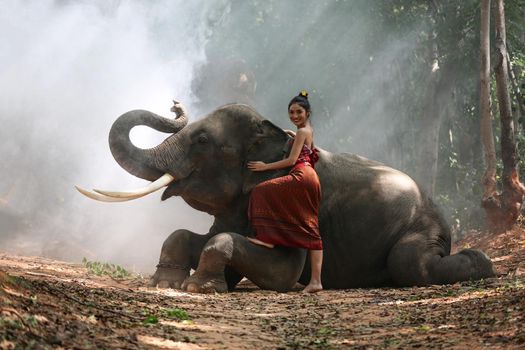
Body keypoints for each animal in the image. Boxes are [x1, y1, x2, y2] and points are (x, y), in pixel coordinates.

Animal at [75, 102, 494, 292]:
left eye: (203, 140)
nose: (176, 105)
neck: (275, 132)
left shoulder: (286, 202)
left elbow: (283, 269)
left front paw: (202, 287)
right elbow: (202, 236)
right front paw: (166, 282)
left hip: (419, 231)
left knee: (410, 264)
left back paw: (483, 265)